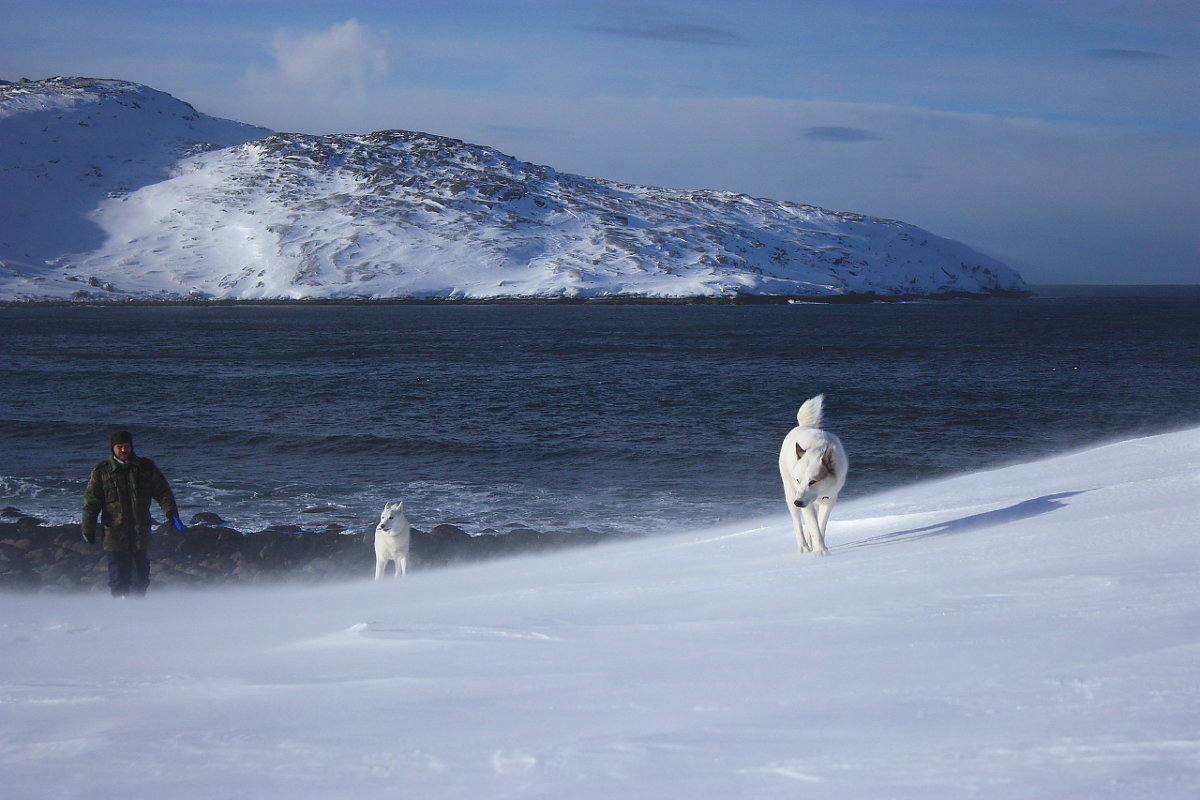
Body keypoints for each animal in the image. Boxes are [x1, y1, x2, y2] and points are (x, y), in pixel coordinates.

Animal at [782, 395, 849, 556]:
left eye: (812, 481)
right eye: (798, 480)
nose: (798, 502)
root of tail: (803, 426)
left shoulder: (829, 499)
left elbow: (821, 524)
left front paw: (820, 547)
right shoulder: (803, 499)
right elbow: (813, 525)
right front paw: (821, 552)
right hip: (790, 492)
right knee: (796, 521)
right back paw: (804, 547)